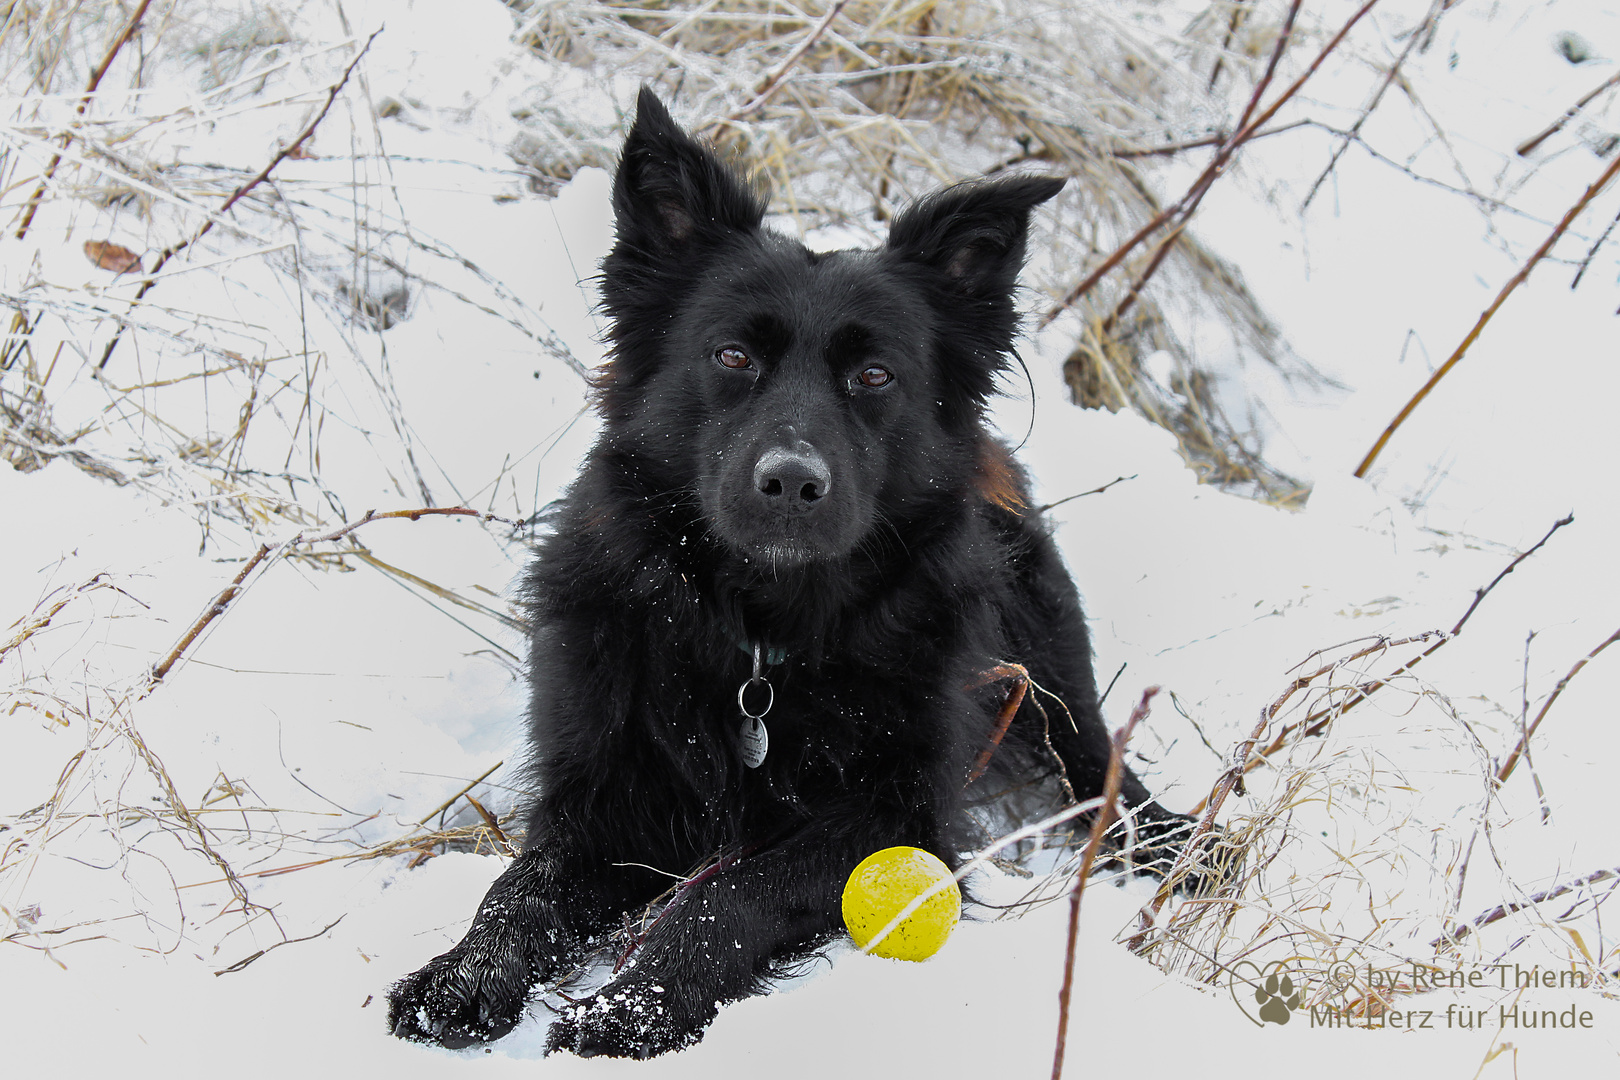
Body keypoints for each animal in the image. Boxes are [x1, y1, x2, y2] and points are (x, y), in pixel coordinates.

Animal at [383, 88, 1185, 1062]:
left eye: (874, 374)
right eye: (733, 356)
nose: (793, 483)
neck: (760, 642)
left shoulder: (895, 814)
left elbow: (735, 895)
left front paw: (636, 1006)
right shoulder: (605, 794)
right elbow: (520, 888)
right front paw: (462, 975)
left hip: (1050, 666)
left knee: (1100, 765)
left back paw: (1180, 845)